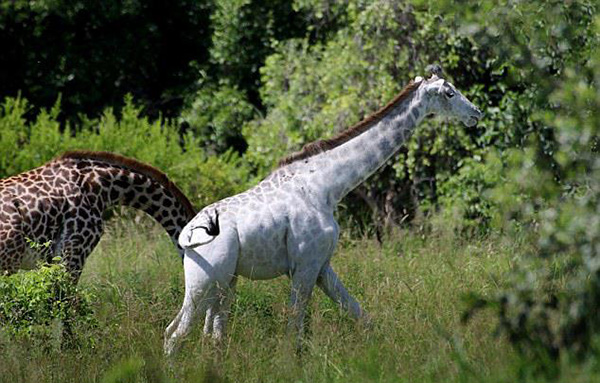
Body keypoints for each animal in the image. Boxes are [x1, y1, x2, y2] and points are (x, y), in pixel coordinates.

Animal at [163, 67, 482, 356]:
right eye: (449, 93)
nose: (476, 114)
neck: (327, 185)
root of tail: (186, 236)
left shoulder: (322, 265)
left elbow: (361, 315)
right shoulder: (304, 265)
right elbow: (293, 330)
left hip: (225, 283)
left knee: (205, 335)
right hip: (205, 282)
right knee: (176, 333)